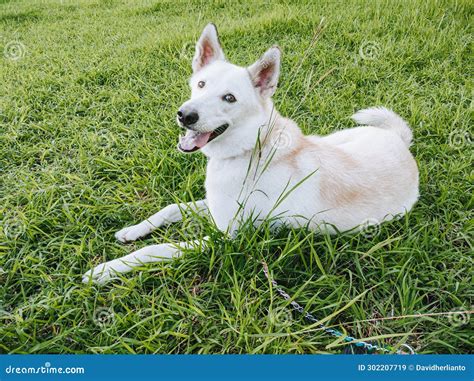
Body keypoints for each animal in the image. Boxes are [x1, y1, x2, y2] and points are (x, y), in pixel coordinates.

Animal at [82, 23, 418, 284]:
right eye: (200, 84)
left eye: (229, 98)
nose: (185, 115)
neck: (249, 151)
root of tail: (400, 141)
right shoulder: (214, 207)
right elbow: (170, 208)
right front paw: (132, 230)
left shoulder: (226, 238)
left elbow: (156, 249)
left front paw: (106, 270)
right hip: (336, 136)